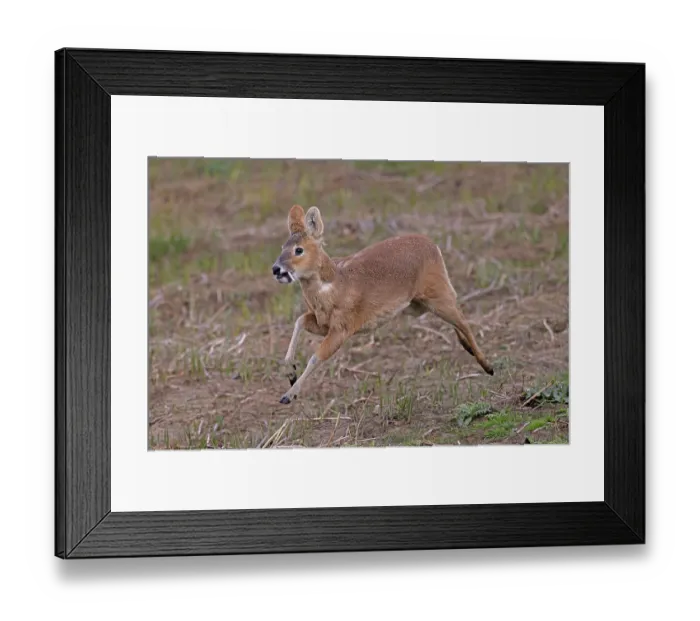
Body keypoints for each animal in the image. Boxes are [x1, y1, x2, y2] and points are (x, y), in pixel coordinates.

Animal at [271, 204, 494, 405]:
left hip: (436, 292)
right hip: (417, 304)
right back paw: (470, 350)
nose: (276, 269)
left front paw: (289, 394)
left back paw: (488, 365)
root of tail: (433, 245)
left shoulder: (343, 326)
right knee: (457, 319)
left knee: (462, 319)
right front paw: (290, 374)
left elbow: (316, 356)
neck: (334, 285)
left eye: (298, 250)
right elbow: (299, 321)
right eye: (282, 247)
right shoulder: (323, 323)